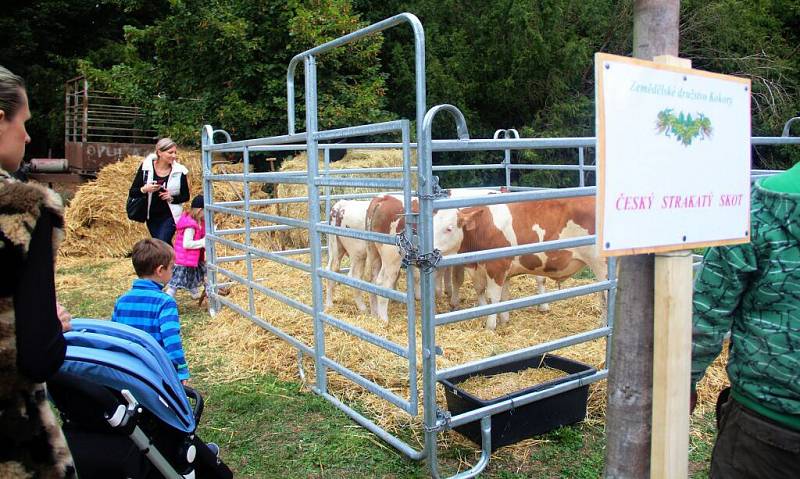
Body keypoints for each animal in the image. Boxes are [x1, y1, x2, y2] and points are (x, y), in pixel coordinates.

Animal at [432, 197, 608, 332]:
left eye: (449, 228)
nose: (432, 250)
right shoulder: (486, 270)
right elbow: (491, 294)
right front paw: (502, 320)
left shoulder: (497, 267)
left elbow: (493, 297)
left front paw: (490, 327)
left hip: (601, 265)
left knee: (605, 295)